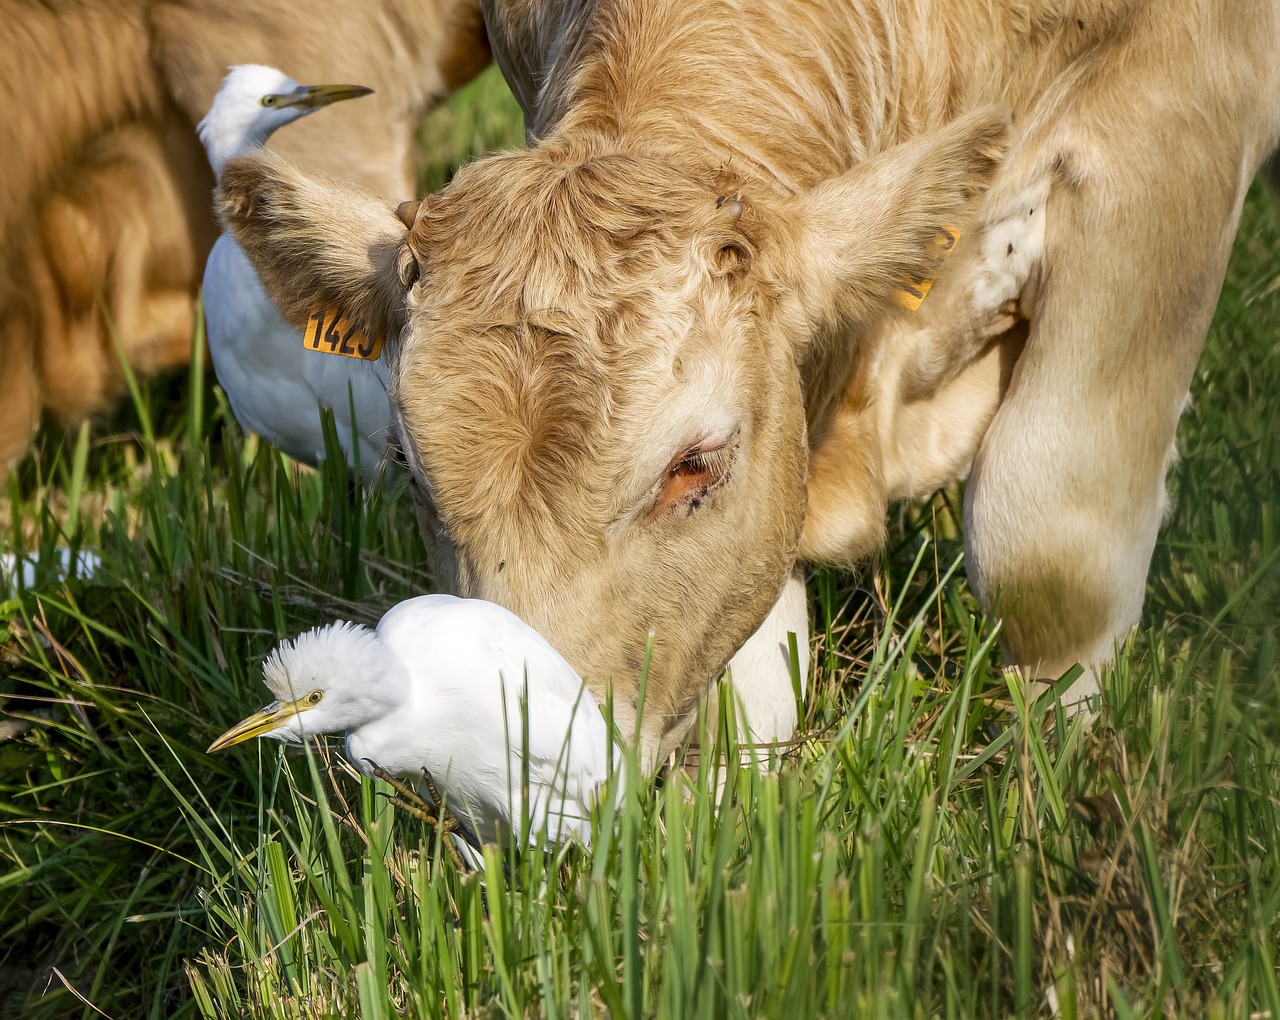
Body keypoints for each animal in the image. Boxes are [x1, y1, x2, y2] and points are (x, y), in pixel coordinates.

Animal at [215, 0, 1280, 762]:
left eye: (695, 462)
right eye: (410, 468)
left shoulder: (1172, 129)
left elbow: (1049, 549)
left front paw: (1059, 783)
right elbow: (754, 681)